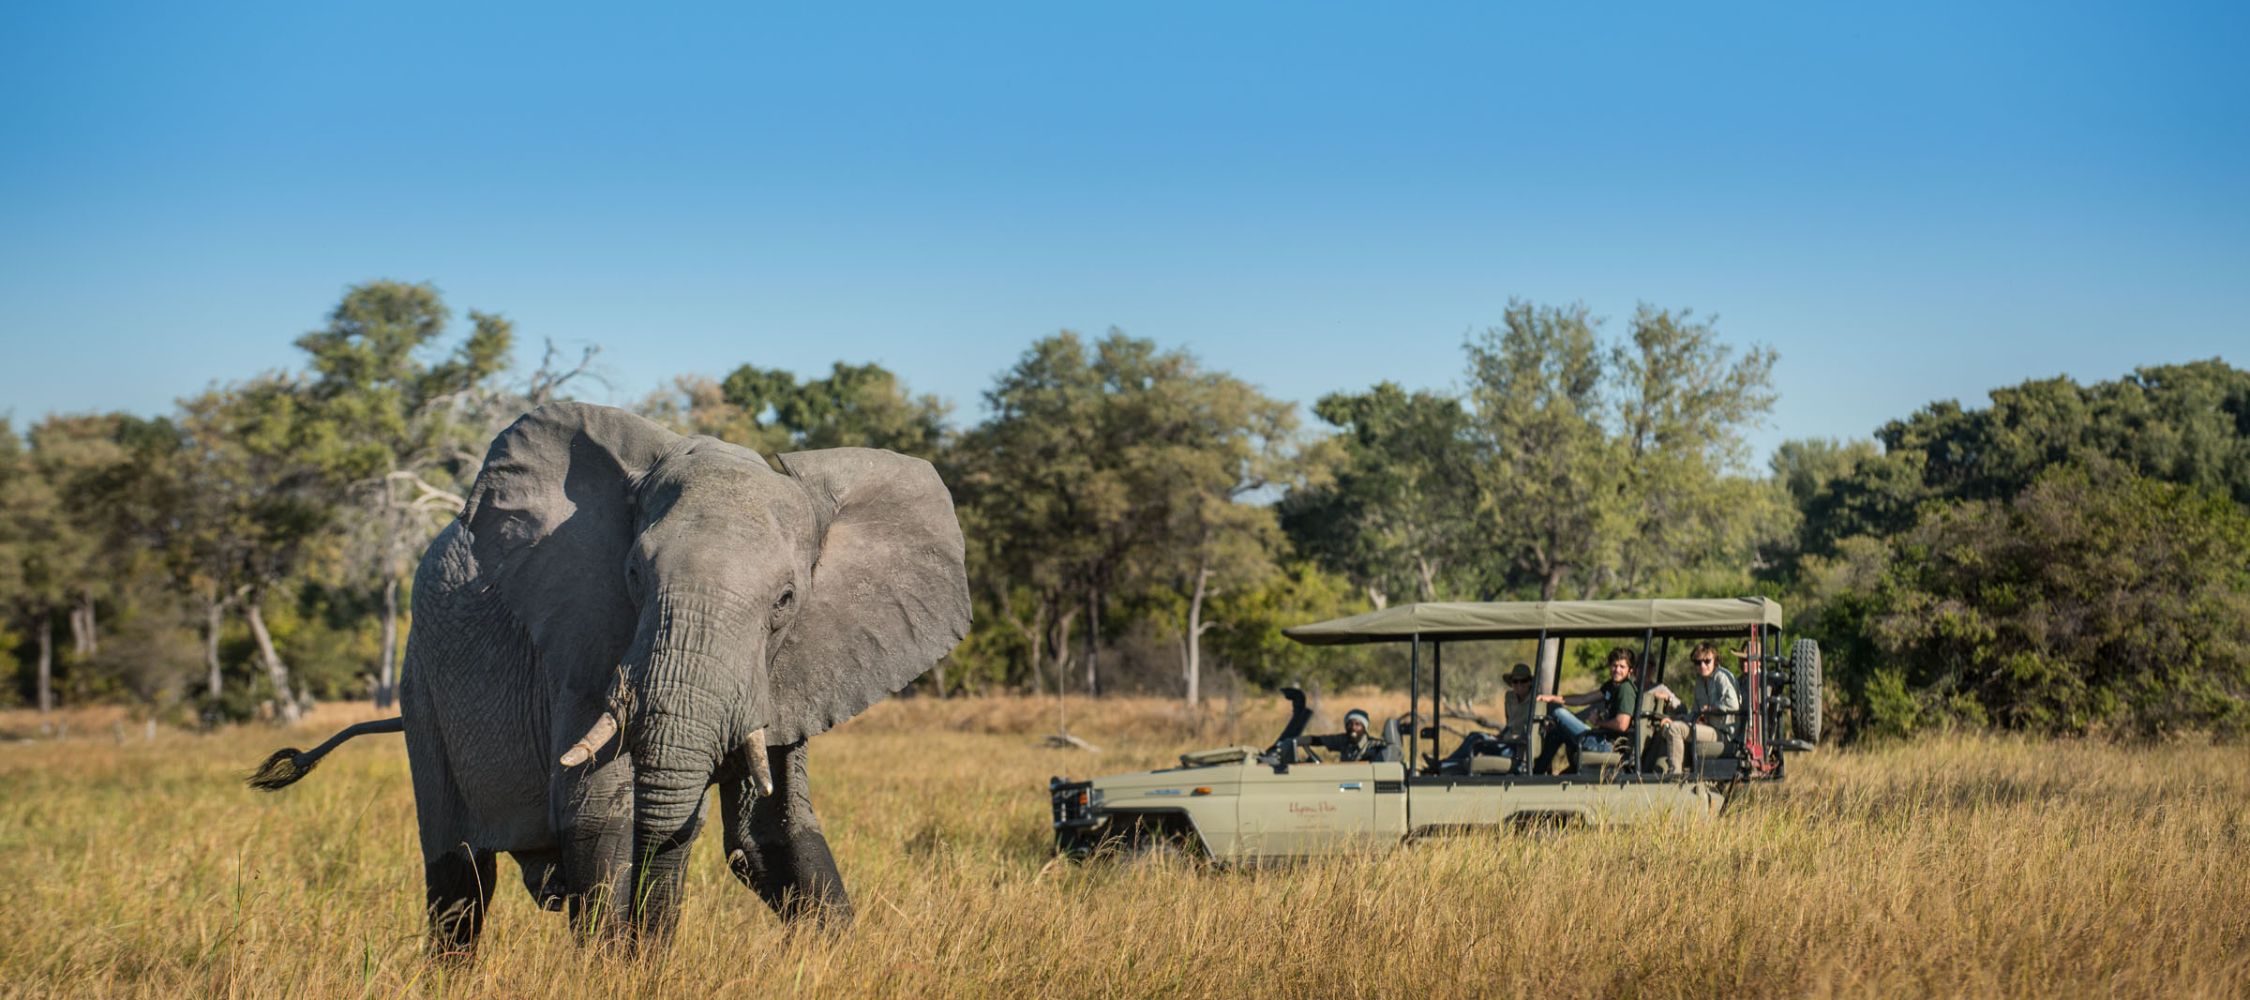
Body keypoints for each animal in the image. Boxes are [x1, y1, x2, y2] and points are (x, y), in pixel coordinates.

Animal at [249, 401, 970, 951]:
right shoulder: (578, 647)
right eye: (633, 576)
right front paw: (617, 965)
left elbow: (777, 833)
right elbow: (601, 816)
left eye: (786, 601)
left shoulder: (795, 668)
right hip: (421, 681)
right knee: (460, 882)